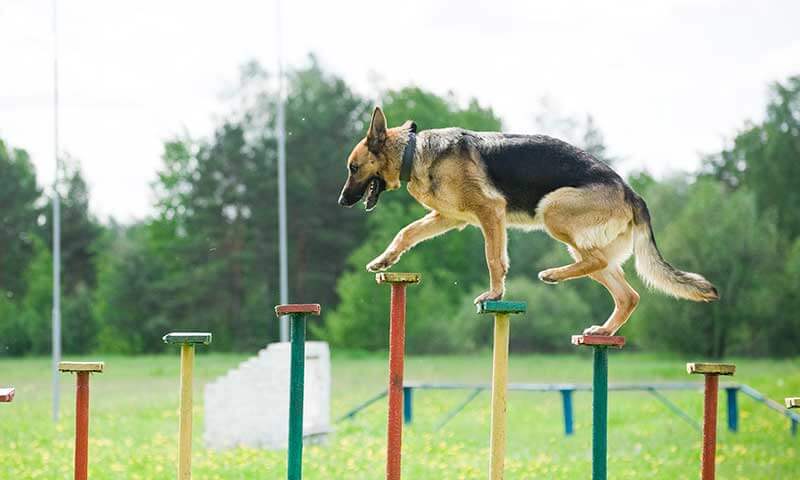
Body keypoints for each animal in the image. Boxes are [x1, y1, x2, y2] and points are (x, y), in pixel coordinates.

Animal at [338, 107, 720, 336]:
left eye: (353, 168)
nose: (341, 201)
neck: (412, 151)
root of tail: (631, 193)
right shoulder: (448, 218)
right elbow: (406, 233)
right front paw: (384, 260)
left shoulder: (489, 213)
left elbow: (494, 259)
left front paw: (495, 293)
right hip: (587, 245)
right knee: (627, 294)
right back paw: (604, 330)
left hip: (552, 211)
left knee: (596, 262)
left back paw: (552, 275)